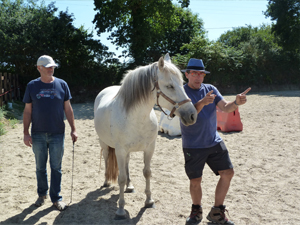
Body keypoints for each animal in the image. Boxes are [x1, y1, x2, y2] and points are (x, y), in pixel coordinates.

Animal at [94, 53, 197, 219]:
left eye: (182, 84)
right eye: (170, 86)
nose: (192, 115)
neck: (137, 117)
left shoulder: (149, 148)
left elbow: (147, 173)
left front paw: (149, 201)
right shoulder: (120, 150)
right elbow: (121, 178)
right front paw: (121, 209)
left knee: (127, 165)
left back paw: (130, 186)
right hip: (104, 143)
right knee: (106, 159)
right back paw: (106, 182)